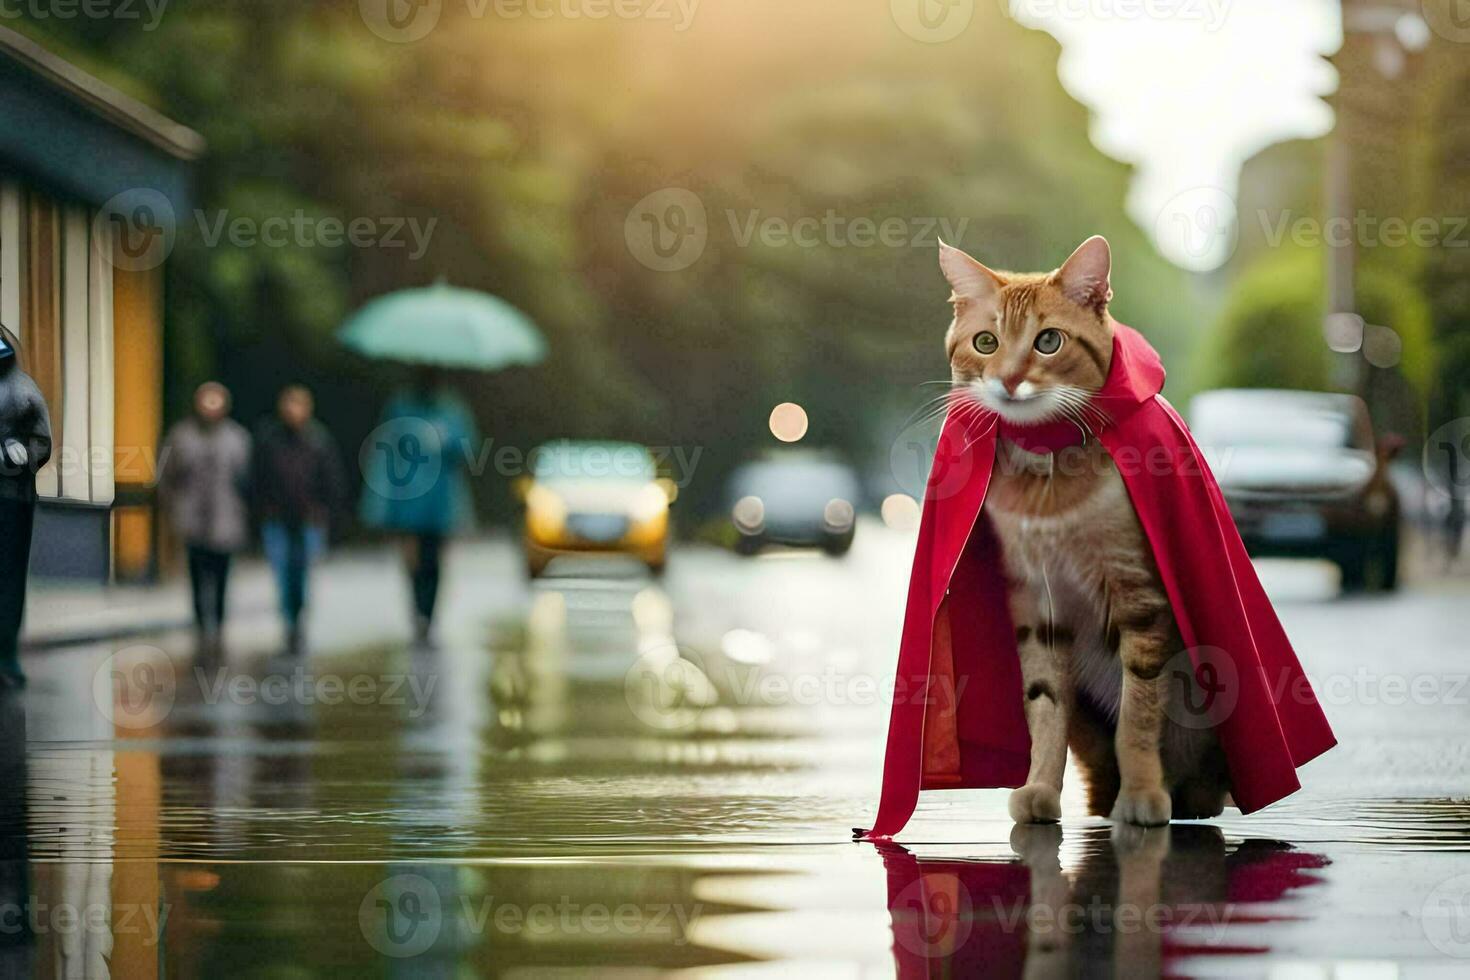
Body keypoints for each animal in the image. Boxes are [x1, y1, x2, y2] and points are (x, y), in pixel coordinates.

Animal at [940, 238, 1228, 828]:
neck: (1047, 481)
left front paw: (1142, 793)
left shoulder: (1140, 597)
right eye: (985, 342)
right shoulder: (1036, 600)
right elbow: (1044, 704)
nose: (1008, 380)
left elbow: (1138, 712)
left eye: (1049, 341)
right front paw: (1039, 788)